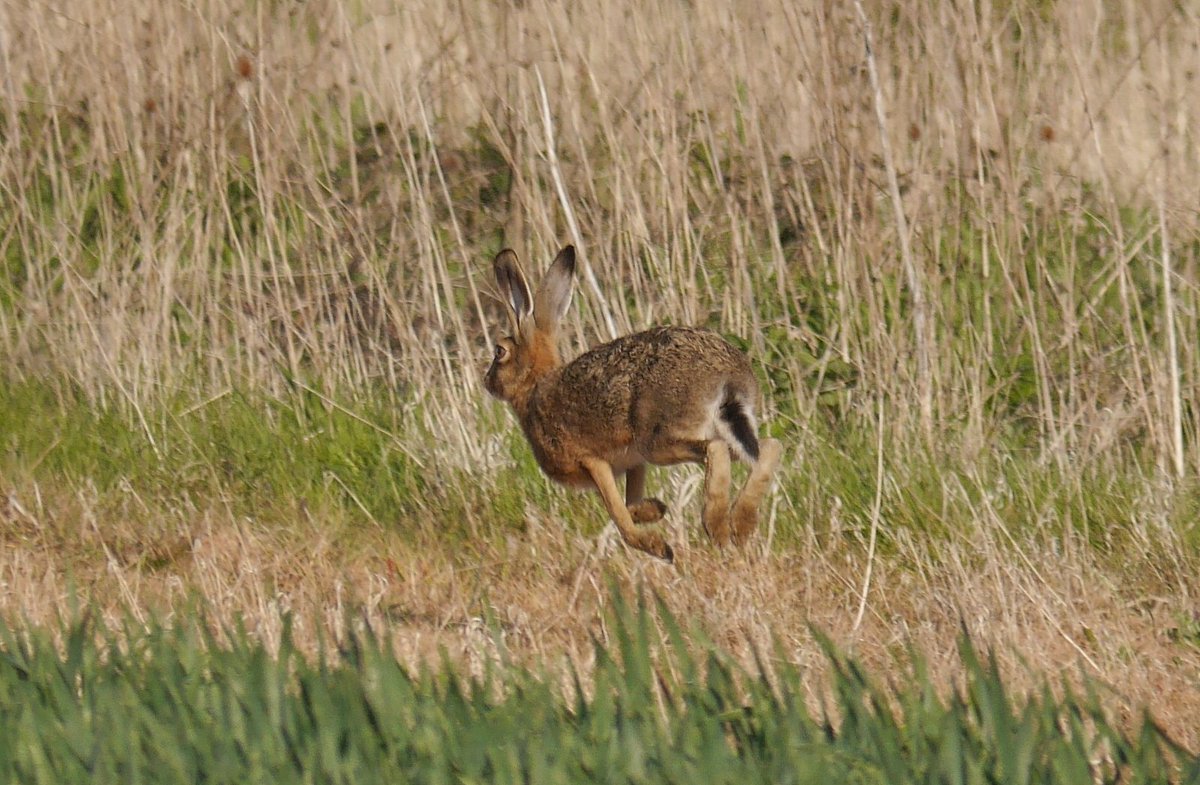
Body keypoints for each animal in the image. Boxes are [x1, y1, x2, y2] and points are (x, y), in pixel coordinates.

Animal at [484, 245, 782, 563]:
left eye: (499, 351)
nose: (487, 381)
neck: (535, 386)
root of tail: (727, 375)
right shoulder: (633, 462)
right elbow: (629, 504)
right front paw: (655, 509)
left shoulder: (593, 461)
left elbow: (619, 516)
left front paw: (658, 547)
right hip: (722, 432)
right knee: (768, 448)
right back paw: (742, 524)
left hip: (660, 439)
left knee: (716, 450)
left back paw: (717, 526)